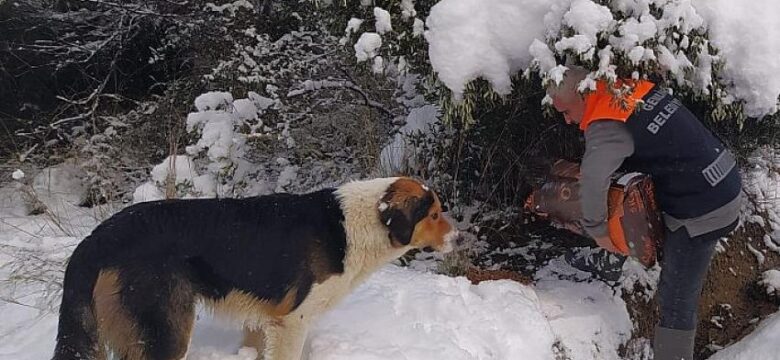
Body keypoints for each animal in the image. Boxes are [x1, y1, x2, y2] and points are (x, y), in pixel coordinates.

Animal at [51, 177, 460, 360]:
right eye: (435, 215)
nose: (458, 237)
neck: (351, 227)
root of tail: (98, 237)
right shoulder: (291, 322)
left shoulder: (263, 319)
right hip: (168, 328)